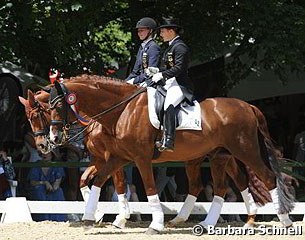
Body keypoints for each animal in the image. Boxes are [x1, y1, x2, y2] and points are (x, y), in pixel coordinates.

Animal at [48, 75, 294, 234]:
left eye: (58, 106)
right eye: (46, 108)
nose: (53, 138)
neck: (122, 110)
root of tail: (247, 106)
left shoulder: (140, 159)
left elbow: (149, 189)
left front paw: (154, 225)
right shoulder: (119, 157)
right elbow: (99, 181)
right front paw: (91, 217)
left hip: (245, 150)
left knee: (267, 178)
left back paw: (284, 221)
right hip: (218, 156)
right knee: (219, 187)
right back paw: (206, 223)